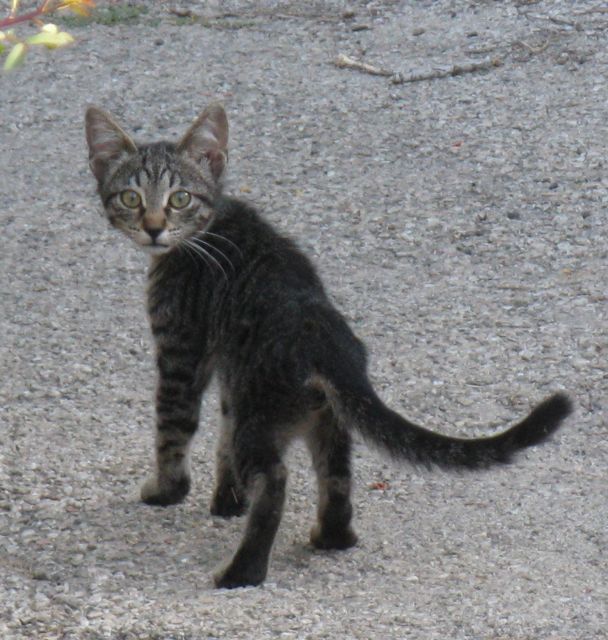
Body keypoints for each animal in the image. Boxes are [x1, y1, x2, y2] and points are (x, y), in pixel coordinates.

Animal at [84, 102, 568, 588]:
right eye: (131, 198)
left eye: (179, 198)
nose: (153, 229)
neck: (212, 224)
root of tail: (329, 343)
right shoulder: (228, 371)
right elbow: (220, 434)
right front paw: (228, 498)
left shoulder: (181, 351)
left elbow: (172, 428)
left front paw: (166, 490)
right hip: (320, 416)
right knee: (336, 476)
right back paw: (331, 536)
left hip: (257, 421)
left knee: (275, 481)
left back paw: (242, 571)